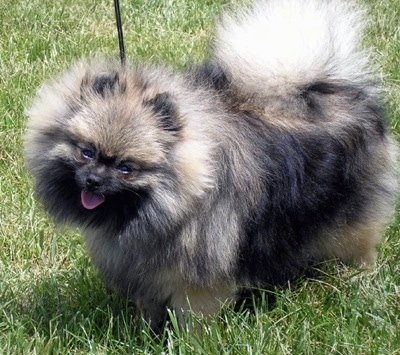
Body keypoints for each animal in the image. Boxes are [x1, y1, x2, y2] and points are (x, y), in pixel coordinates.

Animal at [24, 0, 396, 328]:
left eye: (127, 168)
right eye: (86, 152)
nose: (93, 181)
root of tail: (325, 88)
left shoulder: (199, 277)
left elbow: (193, 318)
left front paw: (189, 341)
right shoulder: (145, 270)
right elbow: (148, 308)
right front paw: (144, 331)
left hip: (349, 214)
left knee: (359, 242)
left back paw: (357, 275)